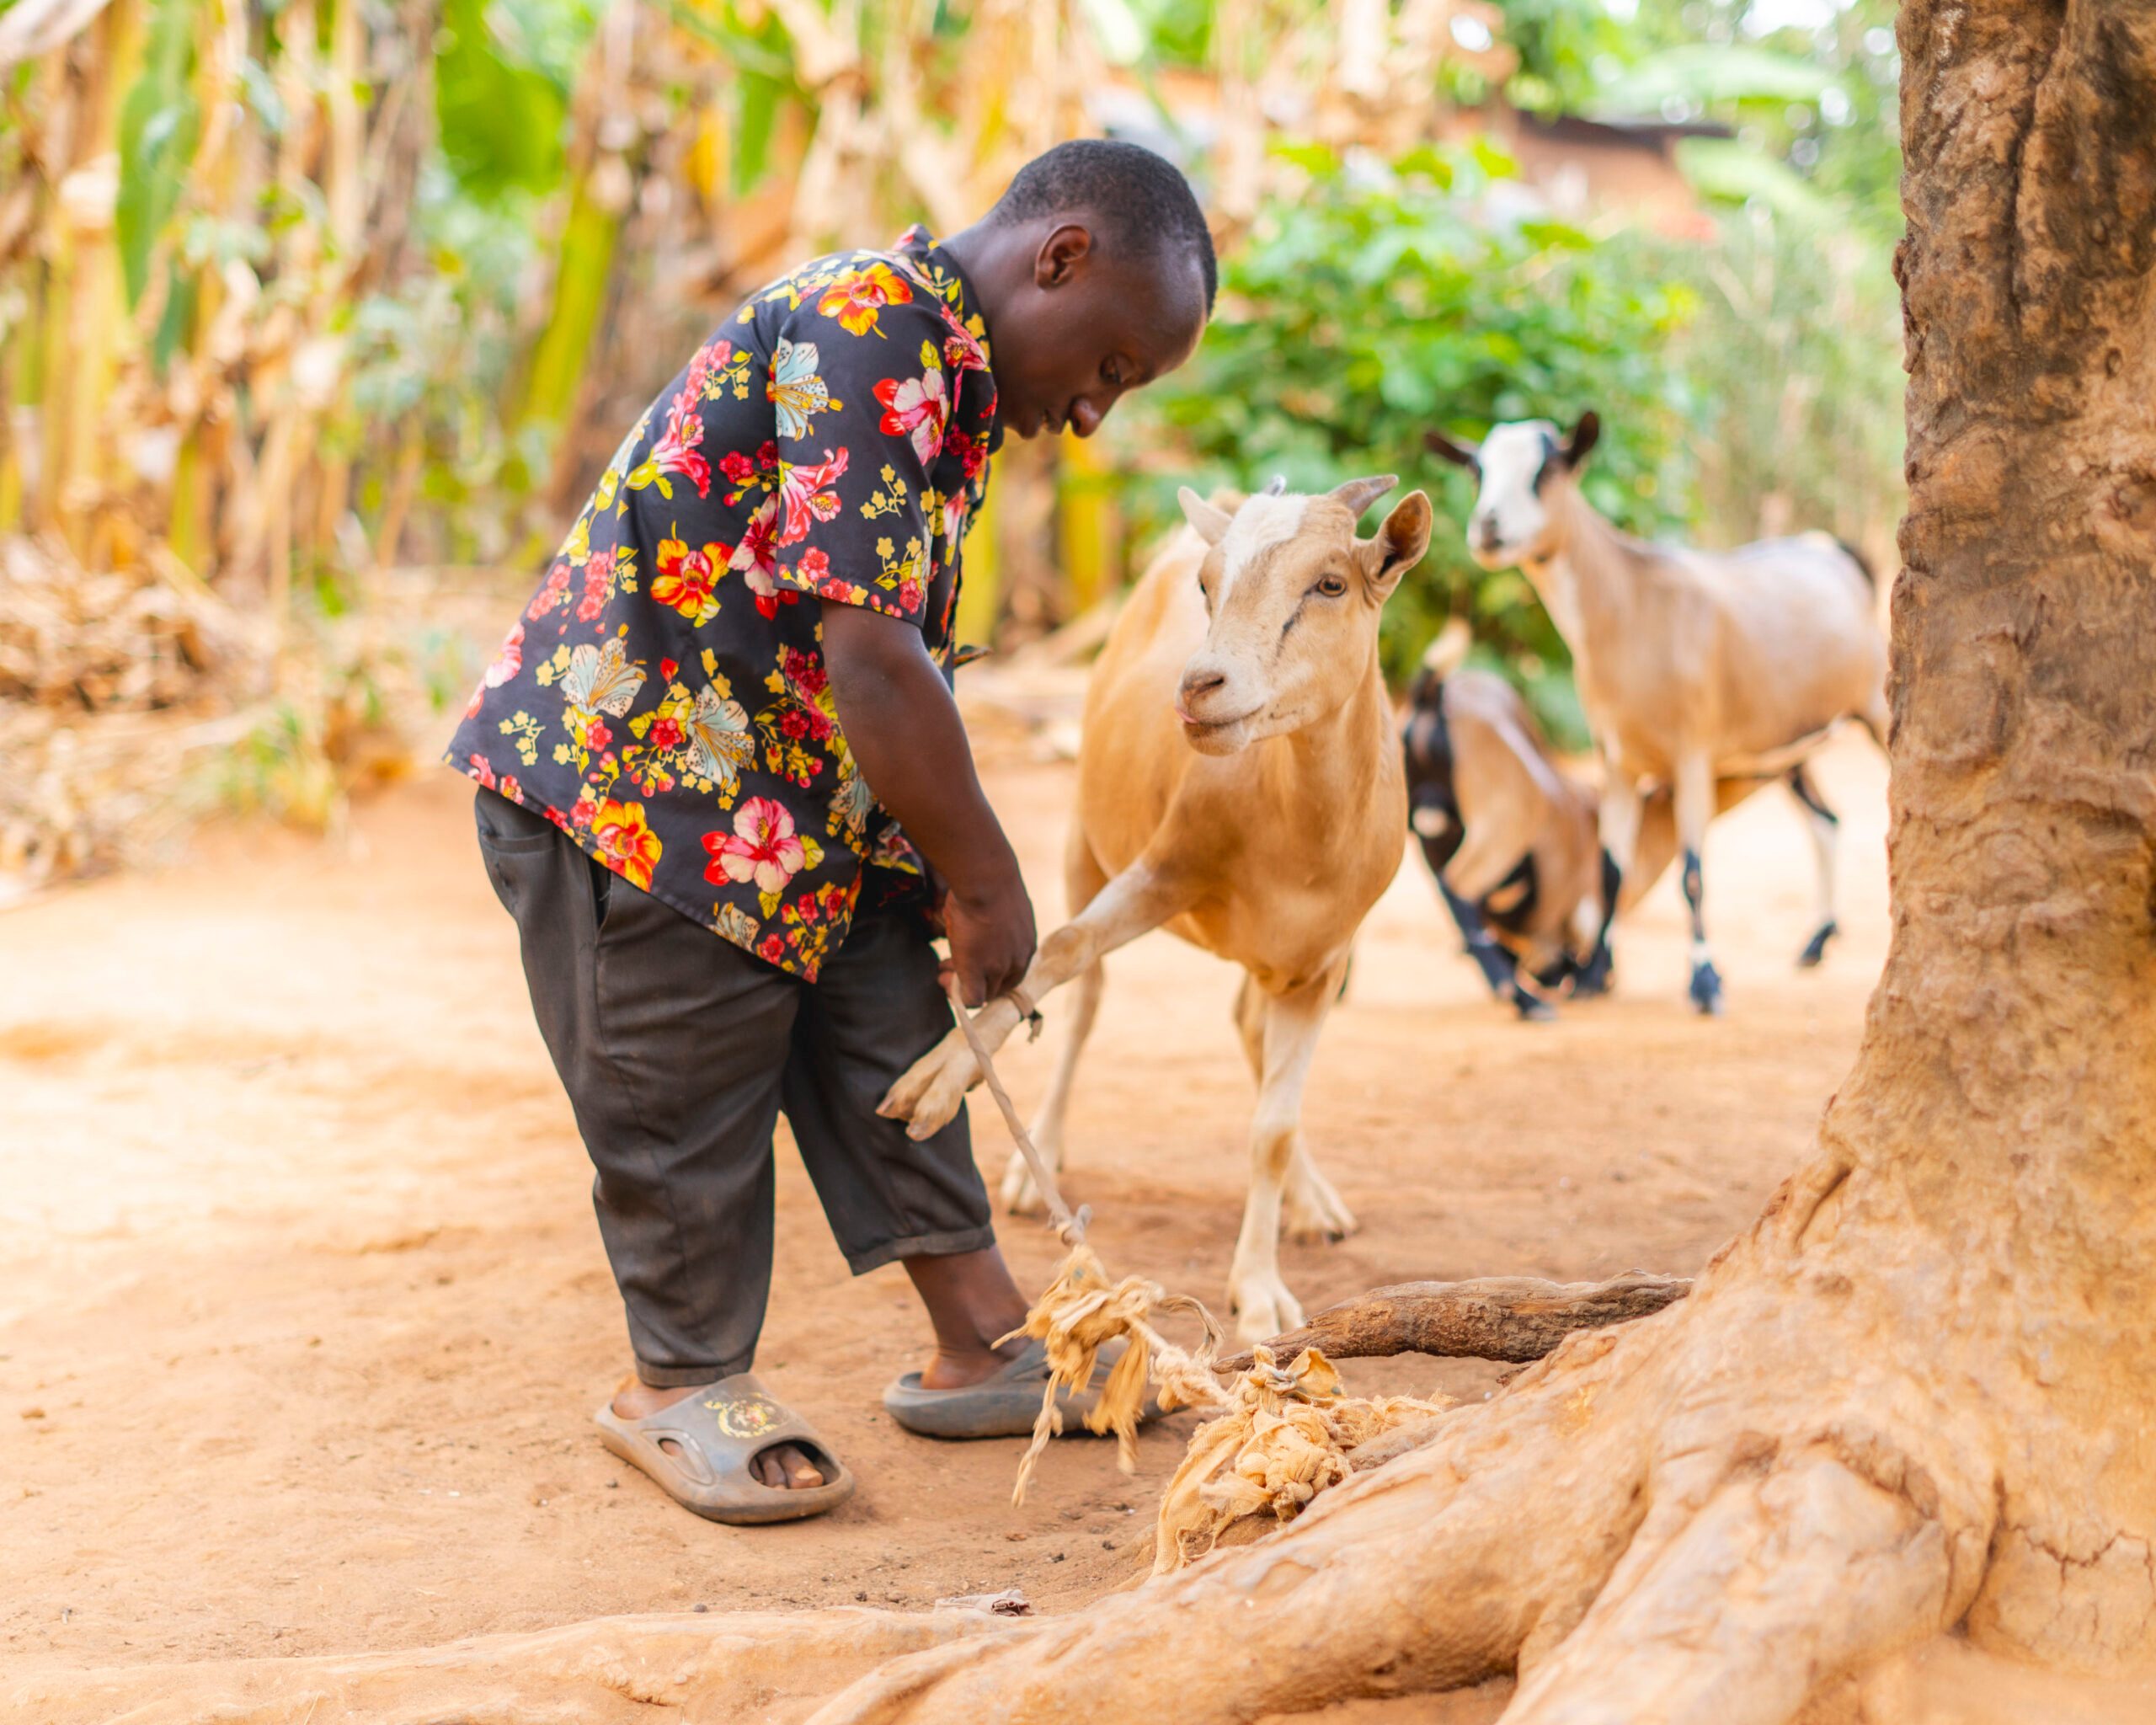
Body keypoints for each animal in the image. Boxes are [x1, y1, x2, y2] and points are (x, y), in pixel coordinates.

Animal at [875, 474, 1431, 1345]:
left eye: (1331, 584)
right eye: (1207, 585)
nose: (1201, 687)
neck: (1296, 829)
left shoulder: (1322, 961)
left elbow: (1272, 1130)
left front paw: (1260, 1292)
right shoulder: (1163, 866)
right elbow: (1063, 949)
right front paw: (936, 1081)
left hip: (1275, 959)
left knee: (1248, 1030)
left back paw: (1313, 1203)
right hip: (1083, 838)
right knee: (1089, 1004)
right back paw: (1039, 1163)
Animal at [1431, 411, 1888, 1017]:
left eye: (1546, 470)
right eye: (1477, 469)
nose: (1488, 527)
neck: (1630, 603)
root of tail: (1836, 552)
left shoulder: (1691, 752)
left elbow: (1692, 873)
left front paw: (1705, 983)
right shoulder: (1618, 761)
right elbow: (1611, 871)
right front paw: (1593, 977)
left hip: (1877, 703)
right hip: (1790, 742)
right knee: (1827, 821)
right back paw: (1816, 942)